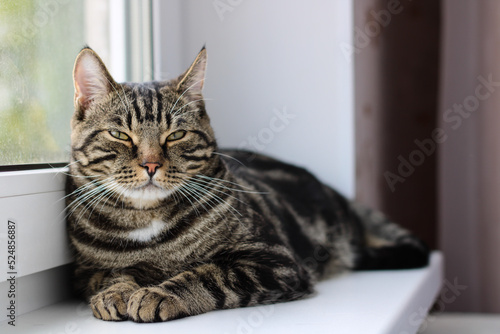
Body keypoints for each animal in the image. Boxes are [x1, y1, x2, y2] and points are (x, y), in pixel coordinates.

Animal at [64, 45, 428, 322]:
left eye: (176, 135)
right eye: (119, 134)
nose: (151, 164)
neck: (148, 221)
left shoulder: (273, 261)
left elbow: (208, 275)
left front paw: (159, 294)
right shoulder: (85, 271)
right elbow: (112, 273)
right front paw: (117, 291)